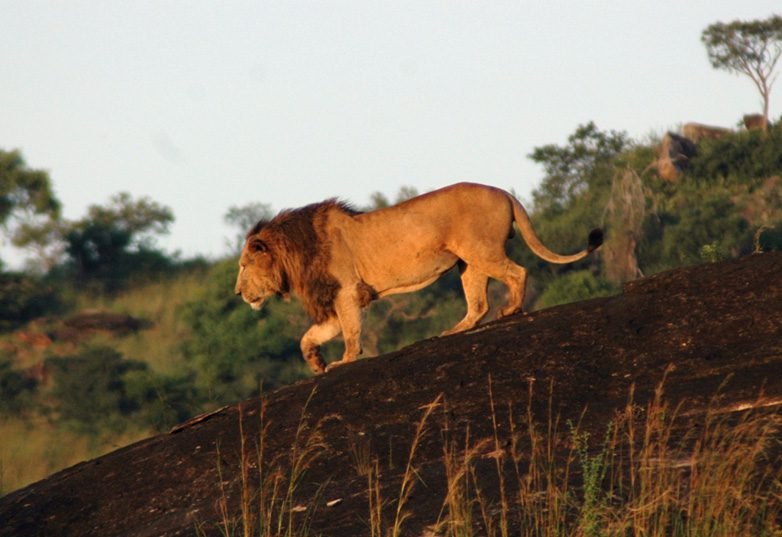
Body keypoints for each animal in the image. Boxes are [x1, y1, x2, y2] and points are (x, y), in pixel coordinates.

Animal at [235, 182, 603, 373]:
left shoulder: (346, 291)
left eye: (242, 265)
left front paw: (345, 361)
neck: (293, 252)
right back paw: (455, 329)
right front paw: (316, 363)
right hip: (468, 262)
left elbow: (351, 332)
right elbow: (309, 336)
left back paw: (511, 310)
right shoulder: (335, 298)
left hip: (481, 251)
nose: (238, 293)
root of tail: (504, 192)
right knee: (478, 304)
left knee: (518, 272)